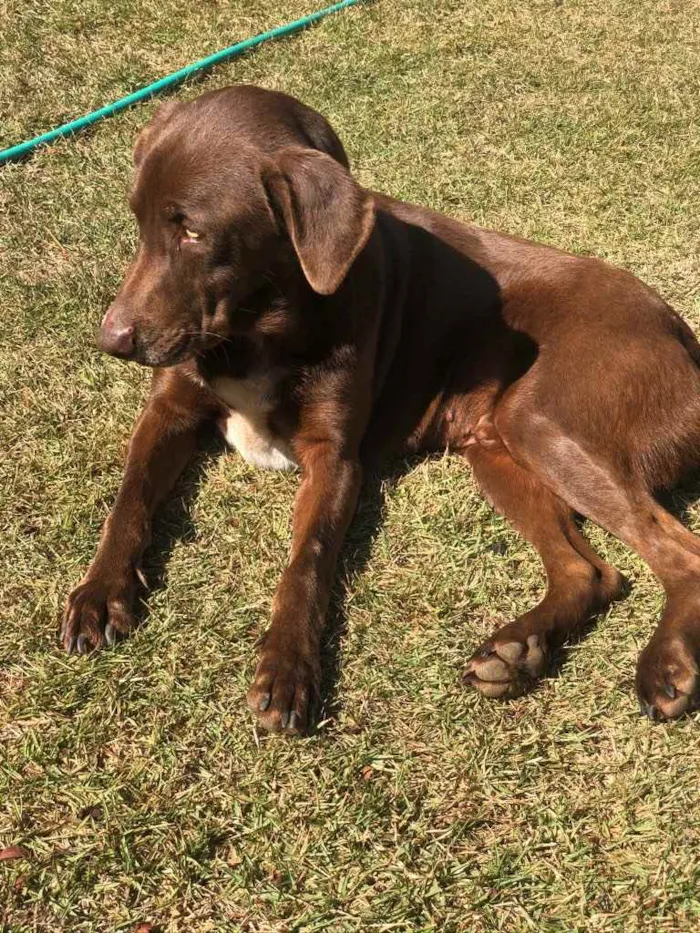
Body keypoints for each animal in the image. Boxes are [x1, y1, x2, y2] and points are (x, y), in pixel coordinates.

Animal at [60, 85, 700, 728]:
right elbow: (130, 497)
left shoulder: (336, 458)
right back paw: (518, 650)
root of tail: (682, 334)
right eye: (139, 222)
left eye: (193, 231)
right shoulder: (169, 411)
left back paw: (664, 665)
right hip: (497, 448)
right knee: (589, 572)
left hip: (542, 423)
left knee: (681, 555)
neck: (260, 325)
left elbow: (308, 559)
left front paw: (288, 666)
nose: (111, 341)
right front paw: (99, 594)